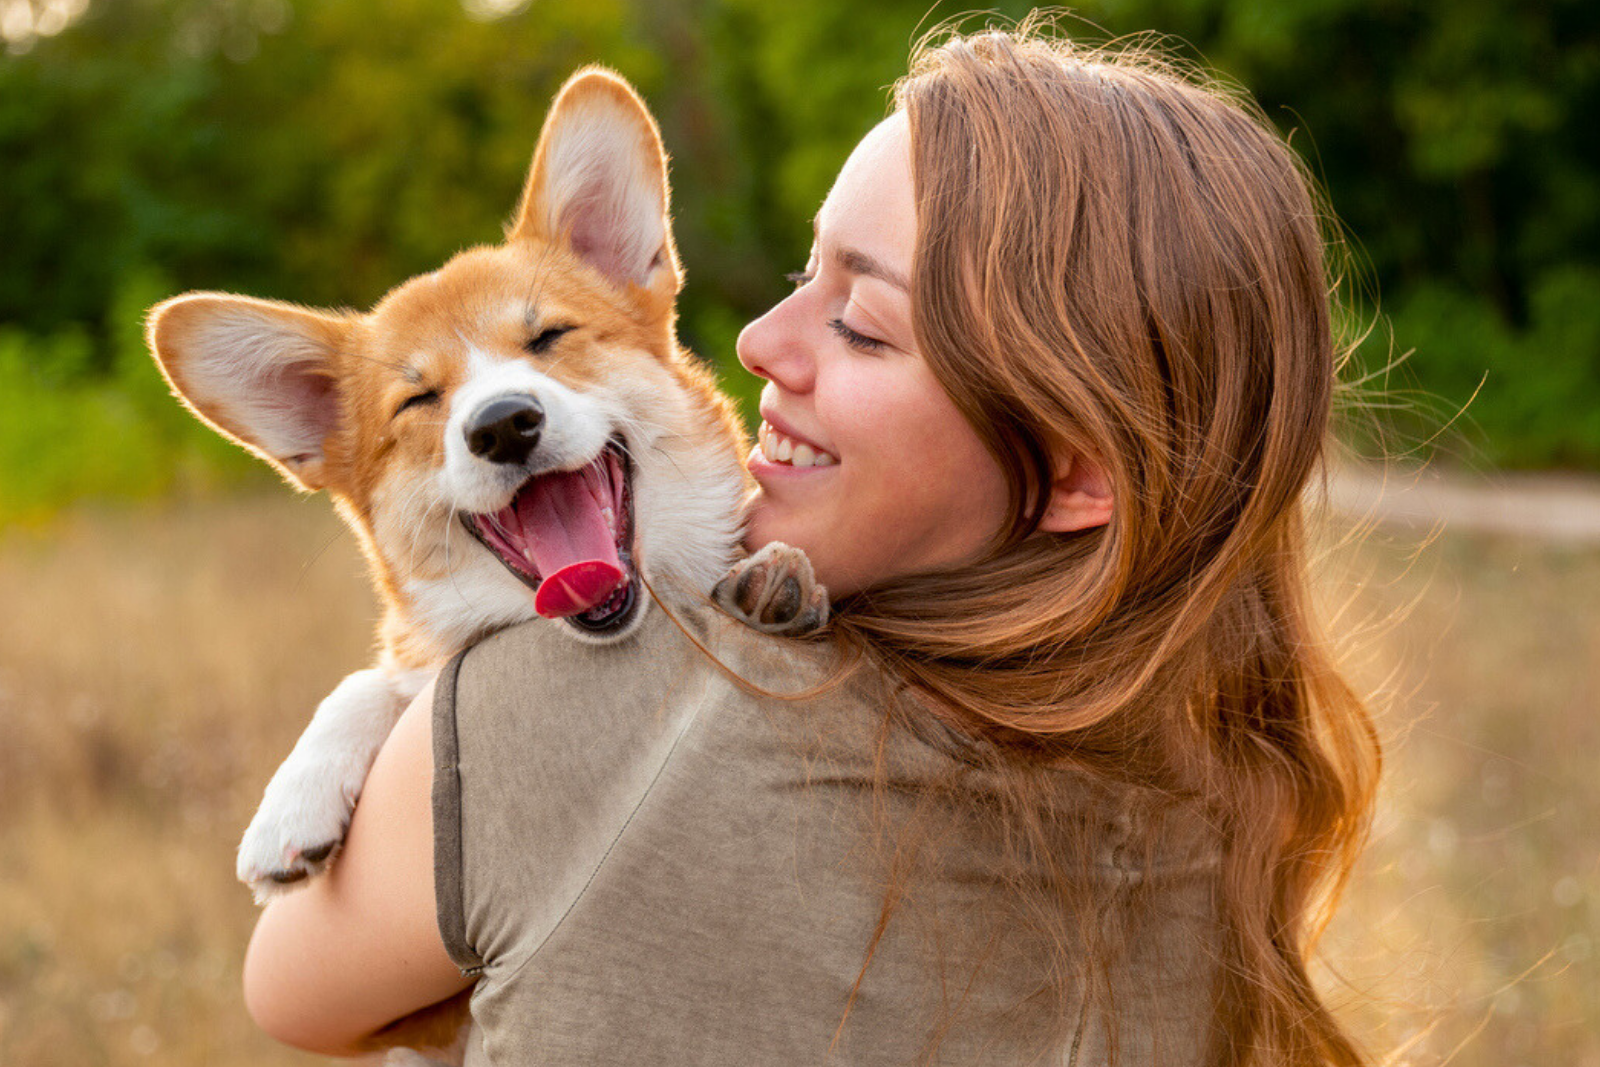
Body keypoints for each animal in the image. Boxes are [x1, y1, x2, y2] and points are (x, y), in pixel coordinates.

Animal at [144, 68, 825, 1067]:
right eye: (420, 399)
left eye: (547, 339)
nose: (503, 423)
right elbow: (372, 681)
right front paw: (291, 807)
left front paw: (777, 575)